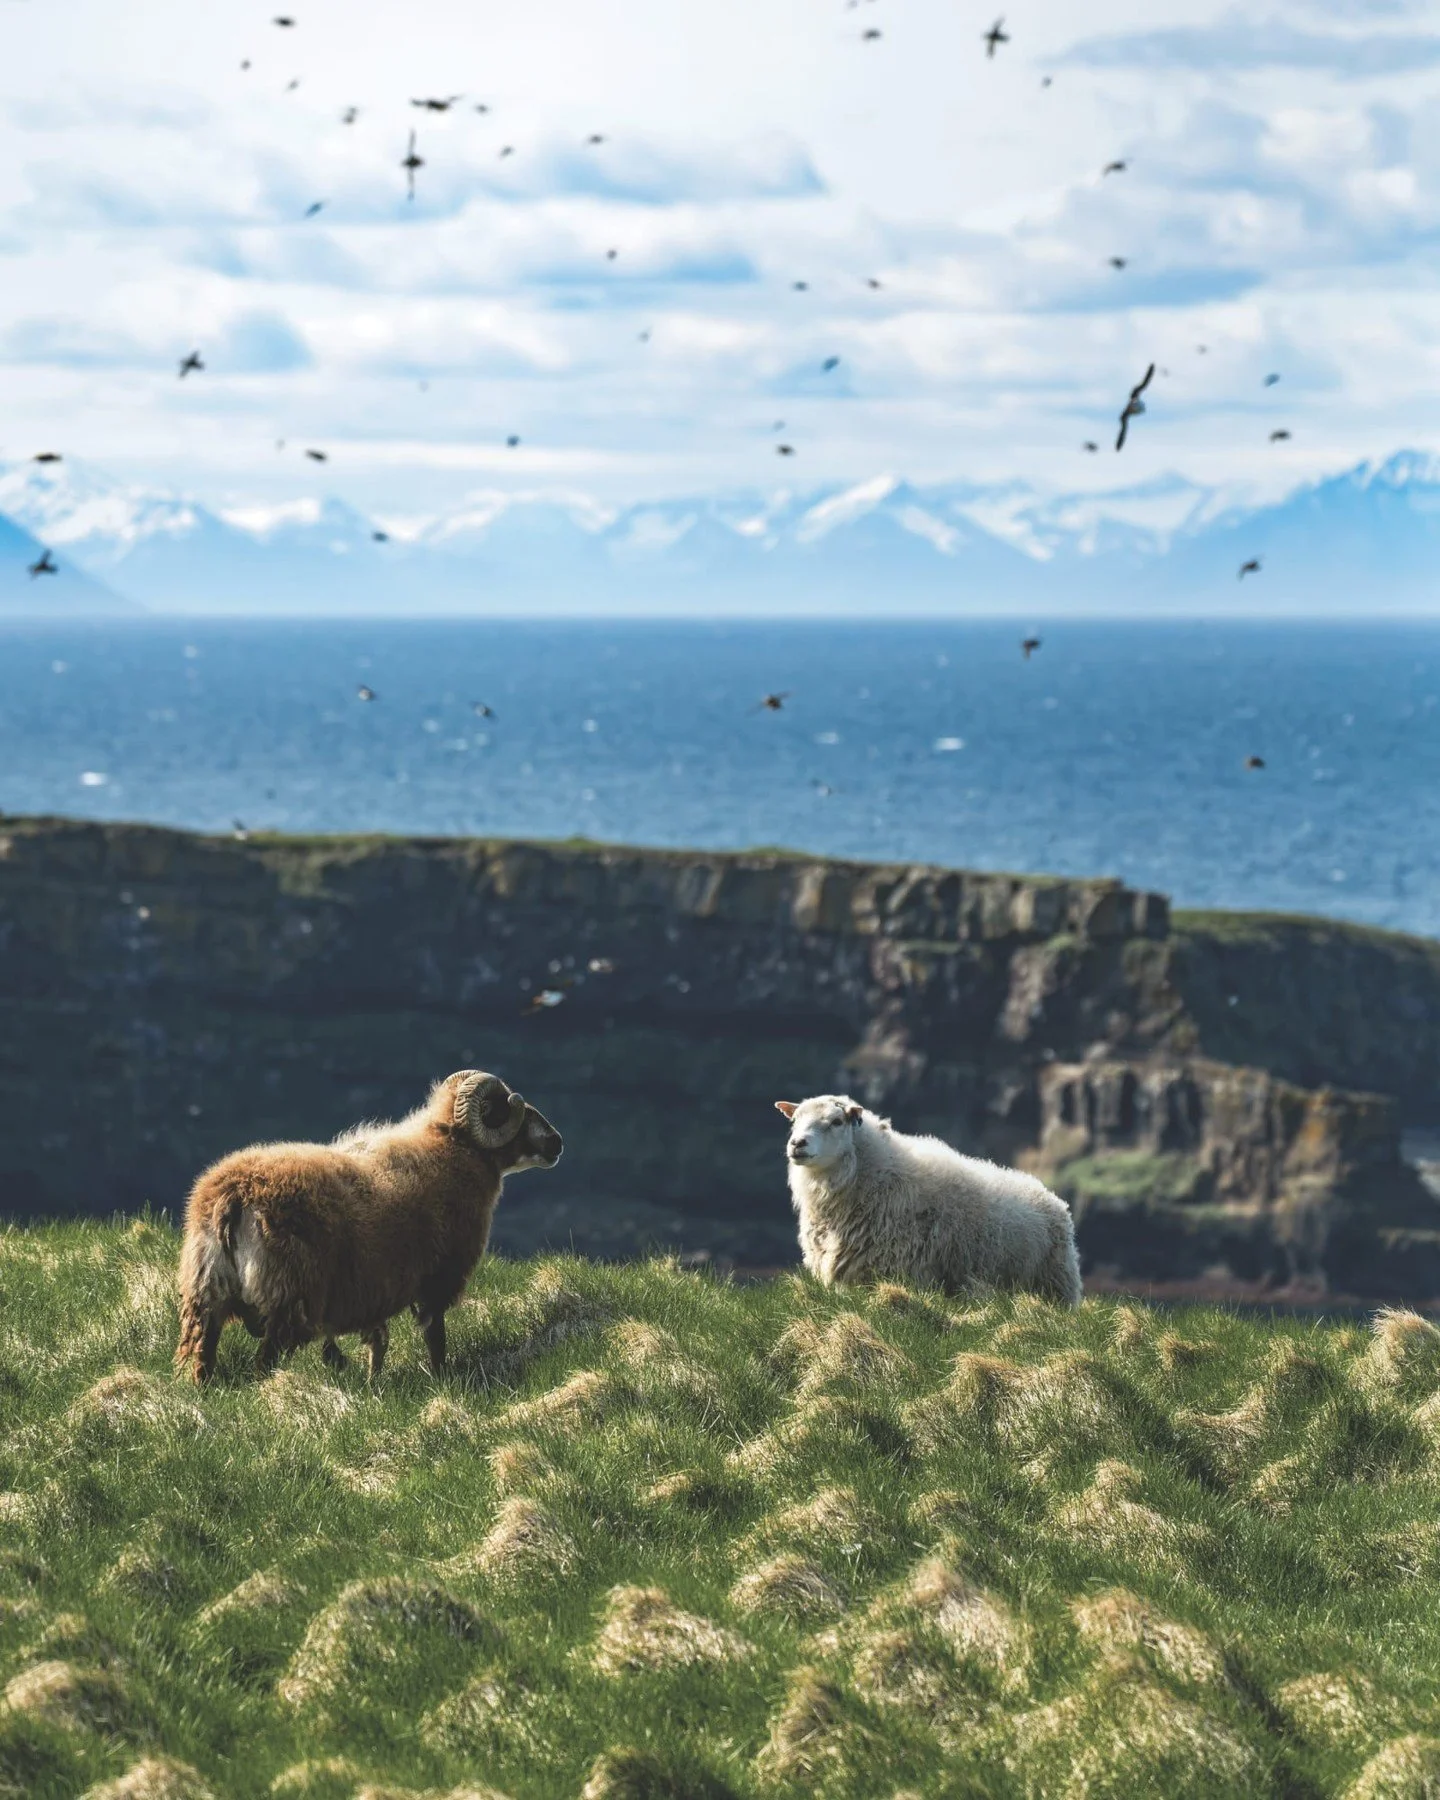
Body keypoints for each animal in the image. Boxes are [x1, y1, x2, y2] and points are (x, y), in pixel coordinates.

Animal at [175, 1071, 562, 1384]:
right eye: (505, 1109)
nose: (557, 1141)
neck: (454, 1149)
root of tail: (234, 1195)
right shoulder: (436, 1280)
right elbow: (434, 1338)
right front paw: (441, 1378)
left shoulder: (377, 1291)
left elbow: (379, 1342)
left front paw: (374, 1383)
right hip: (288, 1298)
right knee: (264, 1362)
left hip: (205, 1295)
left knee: (202, 1359)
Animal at [775, 1095, 1081, 1306]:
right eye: (794, 1121)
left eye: (836, 1121)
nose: (797, 1144)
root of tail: (1048, 1194)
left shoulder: (899, 1270)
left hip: (1054, 1282)